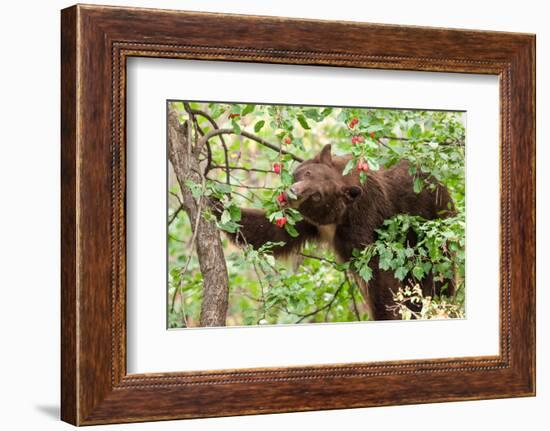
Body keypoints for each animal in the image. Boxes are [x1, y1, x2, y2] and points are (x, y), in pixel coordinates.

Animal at [220, 143, 458, 318]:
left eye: (317, 195)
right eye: (306, 173)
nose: (292, 193)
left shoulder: (364, 219)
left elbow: (377, 269)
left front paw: (385, 313)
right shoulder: (308, 222)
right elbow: (273, 232)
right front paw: (217, 204)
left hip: (432, 232)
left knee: (437, 279)